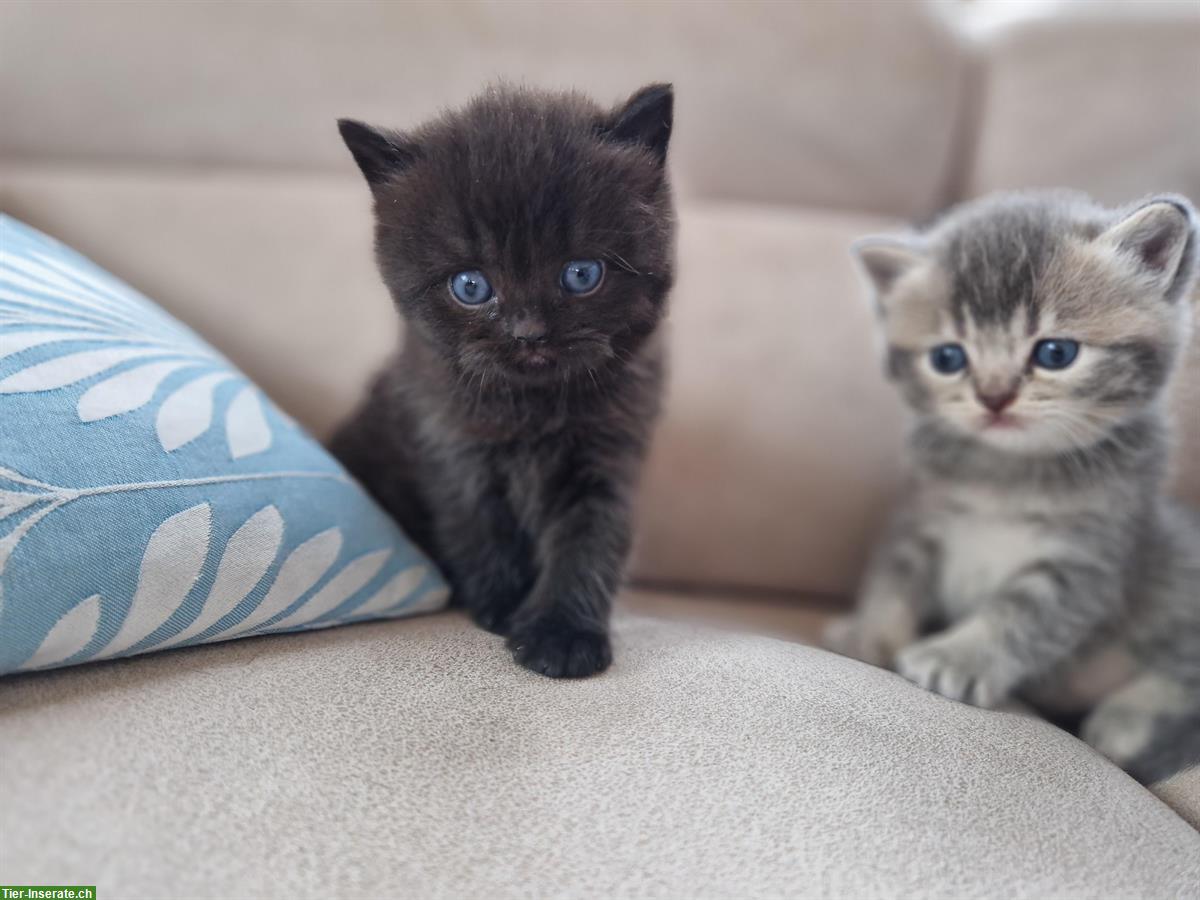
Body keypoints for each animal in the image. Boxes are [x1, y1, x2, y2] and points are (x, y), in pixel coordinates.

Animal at [331, 84, 676, 681]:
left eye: (581, 274)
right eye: (470, 286)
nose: (528, 333)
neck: (532, 407)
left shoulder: (608, 452)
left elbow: (591, 540)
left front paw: (562, 634)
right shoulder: (453, 443)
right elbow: (476, 523)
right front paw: (502, 606)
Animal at [825, 190, 1200, 782]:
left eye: (1055, 353)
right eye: (948, 358)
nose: (994, 397)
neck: (1008, 471)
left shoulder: (1089, 557)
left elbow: (1022, 614)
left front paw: (957, 656)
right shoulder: (921, 518)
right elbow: (894, 578)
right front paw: (872, 635)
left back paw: (1126, 719)